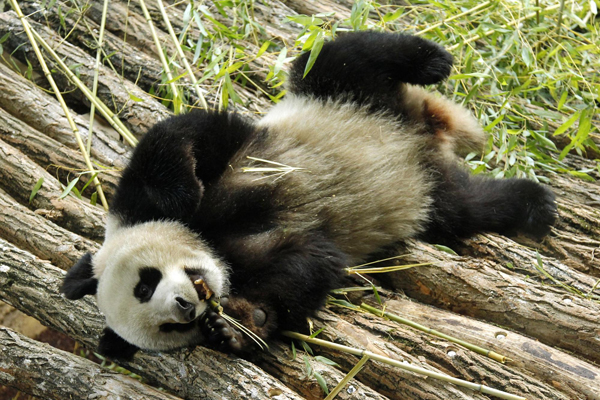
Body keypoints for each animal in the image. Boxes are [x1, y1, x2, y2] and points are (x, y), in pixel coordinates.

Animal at [61, 30, 556, 356]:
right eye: (165, 327)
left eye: (145, 284)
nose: (185, 306)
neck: (212, 245)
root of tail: (422, 133)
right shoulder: (255, 259)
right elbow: (308, 262)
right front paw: (241, 326)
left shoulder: (213, 163)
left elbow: (180, 137)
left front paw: (182, 191)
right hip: (434, 197)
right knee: (467, 207)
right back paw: (531, 204)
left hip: (344, 94)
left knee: (338, 58)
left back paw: (431, 60)